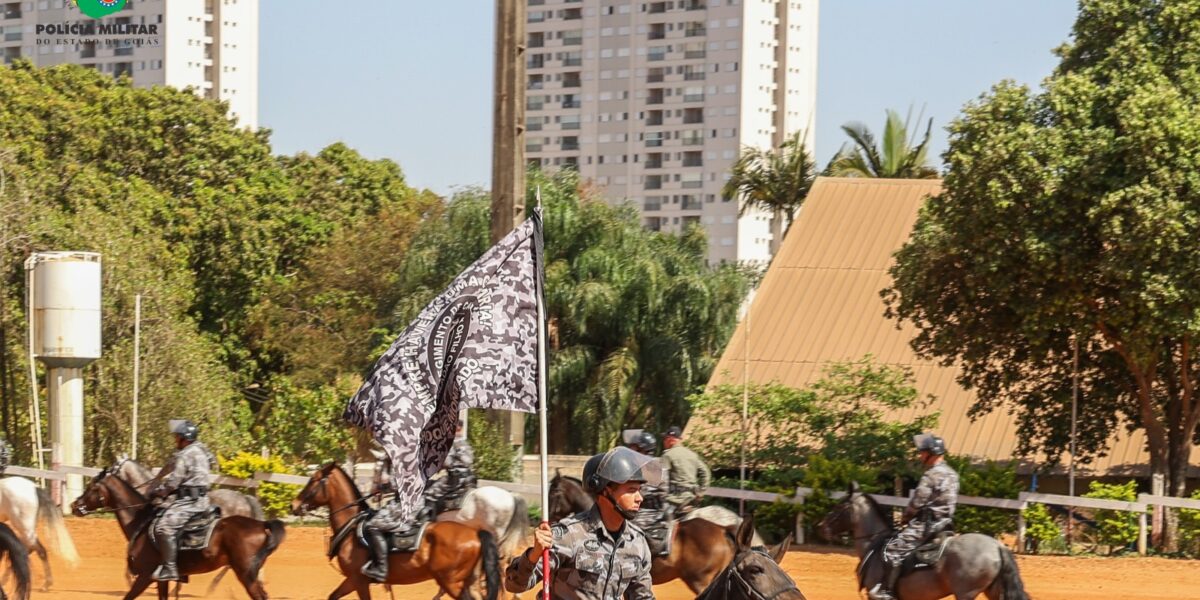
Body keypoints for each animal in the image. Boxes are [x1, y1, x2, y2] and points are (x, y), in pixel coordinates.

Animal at [70, 468, 285, 600]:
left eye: (92, 487)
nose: (74, 505)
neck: (143, 521)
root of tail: (261, 524)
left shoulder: (146, 576)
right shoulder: (161, 580)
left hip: (246, 575)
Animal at [292, 463, 499, 600]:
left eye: (313, 480)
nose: (294, 505)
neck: (351, 530)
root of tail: (475, 533)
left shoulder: (357, 580)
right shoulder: (352, 581)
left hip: (451, 582)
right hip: (468, 582)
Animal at [816, 482, 1032, 600]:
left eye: (839, 506)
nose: (821, 527)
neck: (874, 544)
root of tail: (997, 547)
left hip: (966, 593)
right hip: (994, 591)